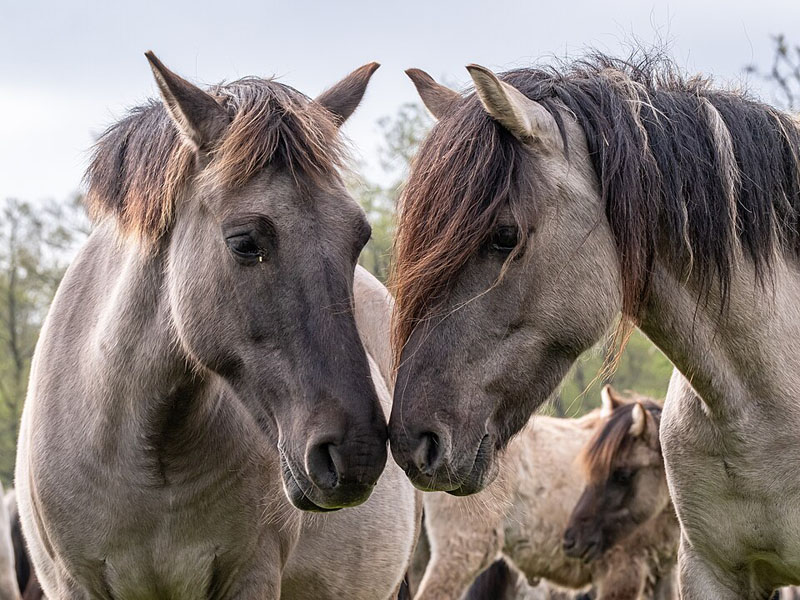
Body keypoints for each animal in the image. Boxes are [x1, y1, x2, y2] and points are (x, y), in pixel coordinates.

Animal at [15, 53, 418, 598]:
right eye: (245, 242)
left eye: (359, 236)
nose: (355, 452)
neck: (145, 455)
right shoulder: (71, 583)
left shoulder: (250, 576)